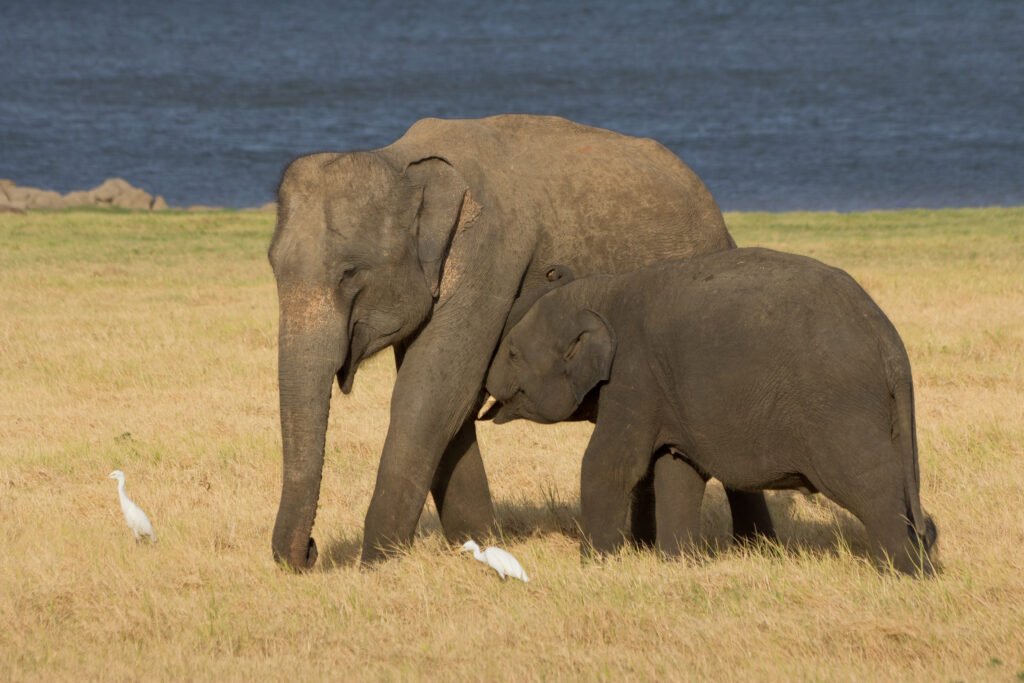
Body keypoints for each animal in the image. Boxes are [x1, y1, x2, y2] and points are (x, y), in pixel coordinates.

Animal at [267, 114, 775, 570]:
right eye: (273, 265)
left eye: (350, 272)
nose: (309, 552)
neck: (403, 160)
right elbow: (452, 405)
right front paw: (479, 545)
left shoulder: (490, 256)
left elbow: (431, 395)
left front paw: (377, 563)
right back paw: (647, 546)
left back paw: (755, 548)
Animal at [484, 248, 938, 575]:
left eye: (512, 352)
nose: (486, 388)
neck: (600, 293)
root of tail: (888, 340)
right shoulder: (665, 392)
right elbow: (677, 469)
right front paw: (680, 564)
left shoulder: (633, 376)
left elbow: (611, 465)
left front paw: (594, 567)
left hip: (838, 405)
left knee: (868, 481)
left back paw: (904, 574)